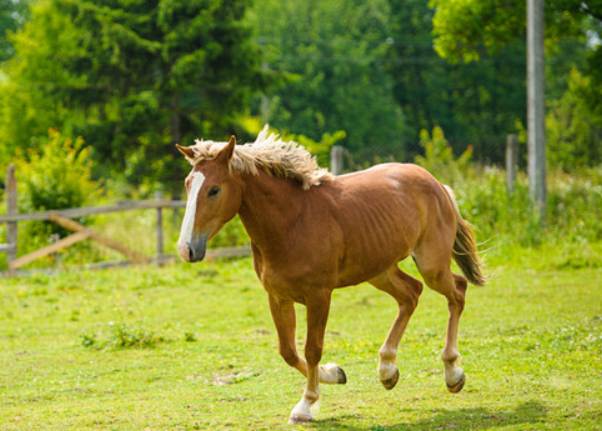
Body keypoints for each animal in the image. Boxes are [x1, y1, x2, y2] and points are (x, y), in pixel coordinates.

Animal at [173, 125, 482, 426]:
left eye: (214, 190)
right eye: (188, 184)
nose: (187, 249)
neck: (291, 223)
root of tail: (437, 184)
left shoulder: (319, 296)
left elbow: (312, 348)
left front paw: (306, 406)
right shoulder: (278, 296)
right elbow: (288, 351)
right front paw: (335, 373)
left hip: (431, 265)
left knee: (457, 291)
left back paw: (453, 374)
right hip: (379, 270)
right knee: (411, 294)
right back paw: (387, 371)